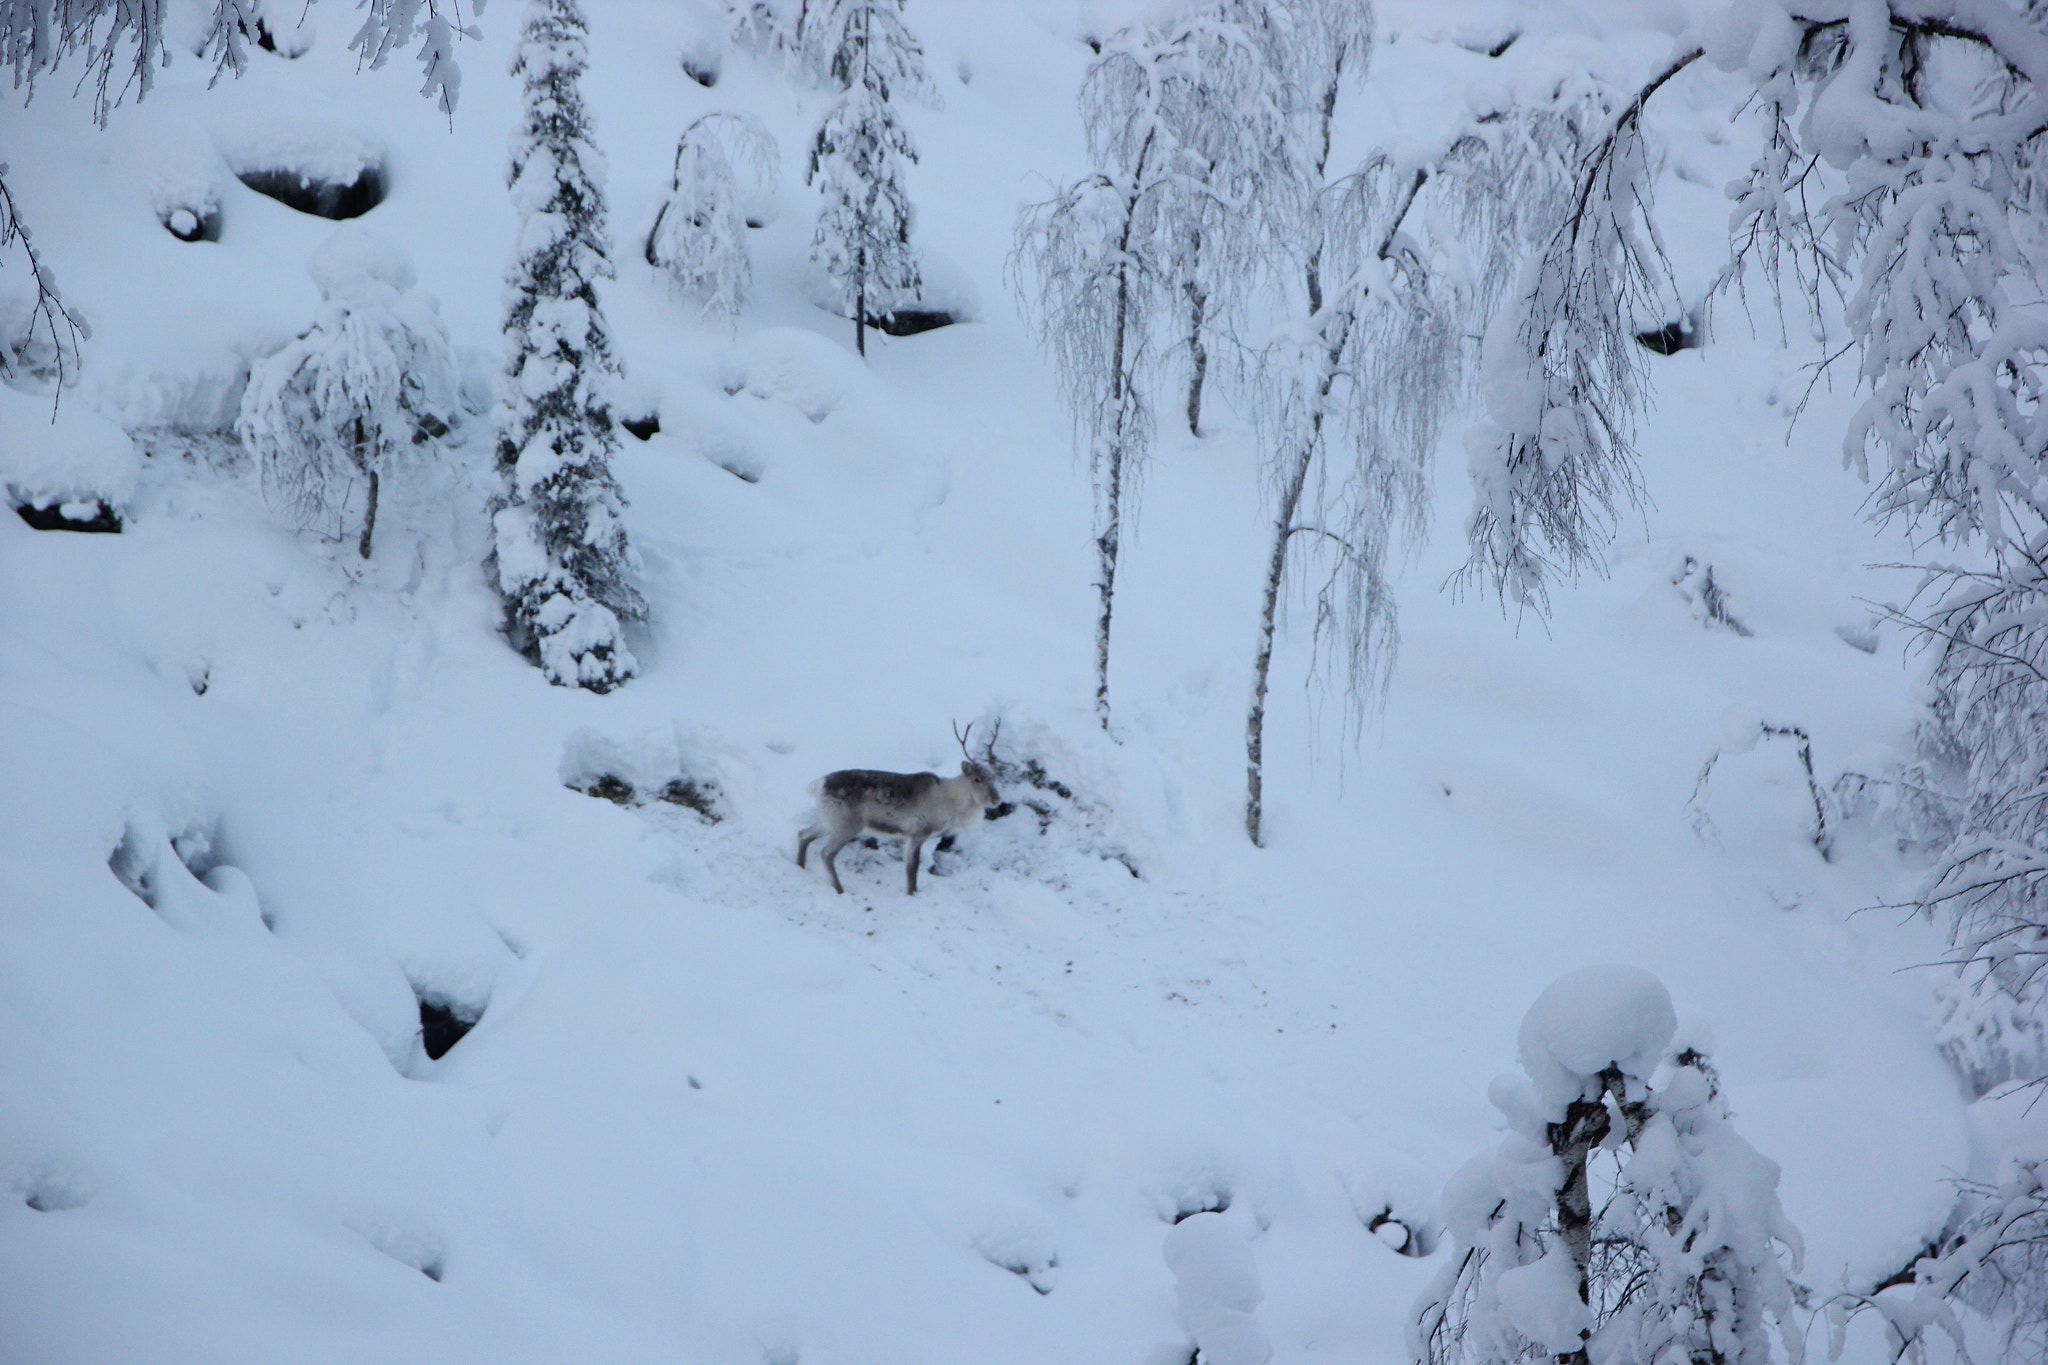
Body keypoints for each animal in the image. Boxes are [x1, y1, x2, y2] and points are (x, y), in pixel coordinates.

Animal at [796, 723, 1001, 895]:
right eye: (977, 779)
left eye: (994, 777)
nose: (996, 799)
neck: (951, 804)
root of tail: (819, 784)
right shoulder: (917, 832)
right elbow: (912, 868)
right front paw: (911, 894)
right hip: (846, 825)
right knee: (826, 854)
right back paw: (839, 889)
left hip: (829, 820)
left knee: (803, 834)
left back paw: (800, 866)